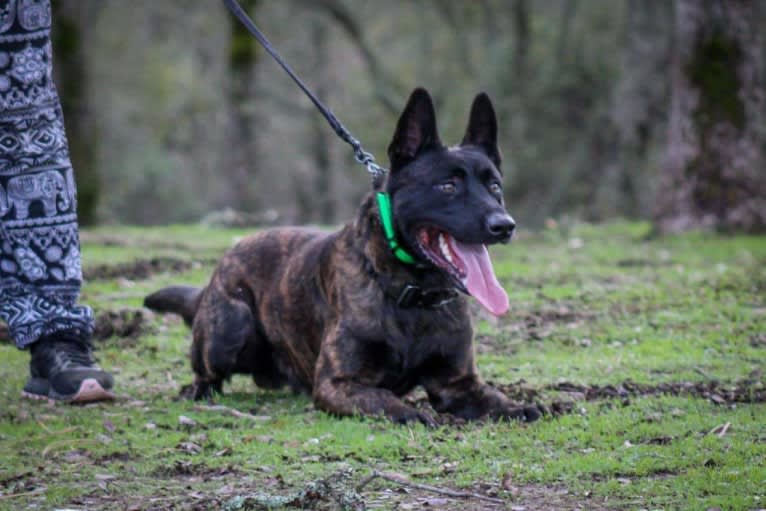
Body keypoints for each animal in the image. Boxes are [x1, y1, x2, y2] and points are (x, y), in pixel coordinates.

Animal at [144, 89, 540, 428]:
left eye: (495, 186)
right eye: (448, 186)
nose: (504, 225)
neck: (411, 294)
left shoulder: (458, 384)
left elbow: (499, 401)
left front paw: (522, 406)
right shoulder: (339, 382)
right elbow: (382, 399)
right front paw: (411, 412)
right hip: (230, 328)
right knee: (207, 371)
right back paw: (199, 390)